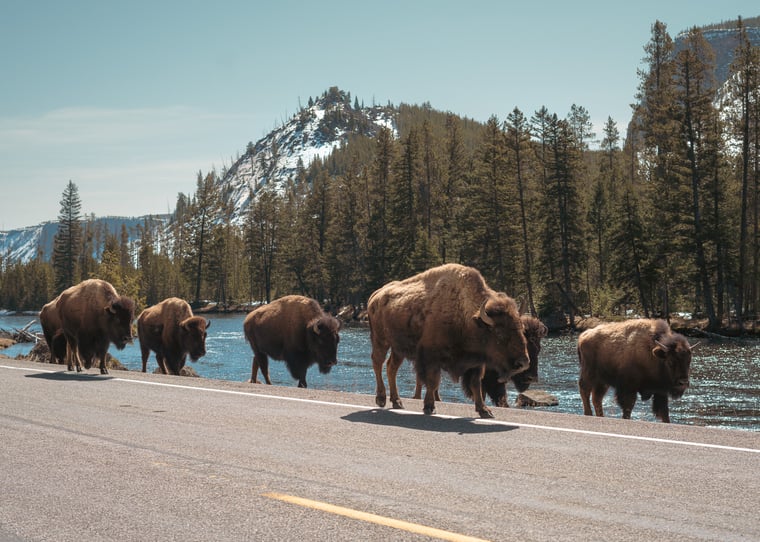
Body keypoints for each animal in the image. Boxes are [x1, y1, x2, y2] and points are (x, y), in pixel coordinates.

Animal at [368, 264, 528, 420]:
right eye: (500, 333)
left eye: (521, 328)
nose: (523, 363)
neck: (466, 315)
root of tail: (375, 295)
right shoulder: (431, 358)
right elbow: (433, 381)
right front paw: (429, 407)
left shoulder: (476, 363)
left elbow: (476, 384)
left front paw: (484, 411)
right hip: (380, 340)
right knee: (377, 363)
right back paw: (381, 399)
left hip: (398, 349)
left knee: (391, 368)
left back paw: (397, 402)